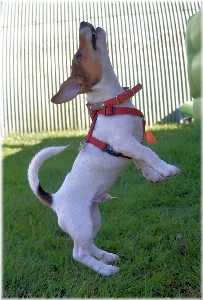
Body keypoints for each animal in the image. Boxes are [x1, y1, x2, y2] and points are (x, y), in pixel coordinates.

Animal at [27, 21, 180, 276]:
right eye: (79, 55)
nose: (82, 22)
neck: (112, 102)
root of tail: (55, 200)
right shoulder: (125, 142)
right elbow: (148, 154)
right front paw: (167, 170)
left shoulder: (133, 143)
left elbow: (141, 161)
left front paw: (153, 176)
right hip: (82, 224)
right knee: (78, 253)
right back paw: (104, 270)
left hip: (93, 218)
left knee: (88, 246)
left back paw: (106, 257)